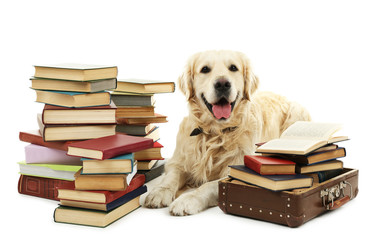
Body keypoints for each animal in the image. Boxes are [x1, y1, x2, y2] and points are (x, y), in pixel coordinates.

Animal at [144, 50, 310, 216]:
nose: (222, 84)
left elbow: (209, 186)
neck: (215, 132)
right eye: (205, 69)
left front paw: (188, 199)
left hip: (296, 112)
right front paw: (159, 192)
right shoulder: (178, 160)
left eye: (233, 68)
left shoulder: (235, 170)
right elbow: (171, 177)